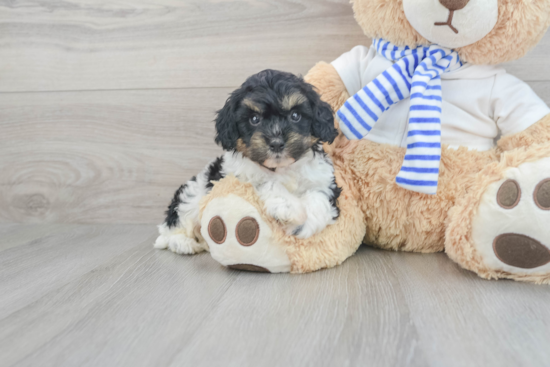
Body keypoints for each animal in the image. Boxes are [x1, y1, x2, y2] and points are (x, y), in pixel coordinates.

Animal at [155, 70, 342, 256]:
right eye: (254, 119)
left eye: (295, 116)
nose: (276, 143)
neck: (281, 167)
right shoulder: (237, 178)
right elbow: (267, 183)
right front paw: (289, 208)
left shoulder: (324, 179)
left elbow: (319, 197)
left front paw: (303, 224)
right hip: (190, 198)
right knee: (173, 227)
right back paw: (184, 243)